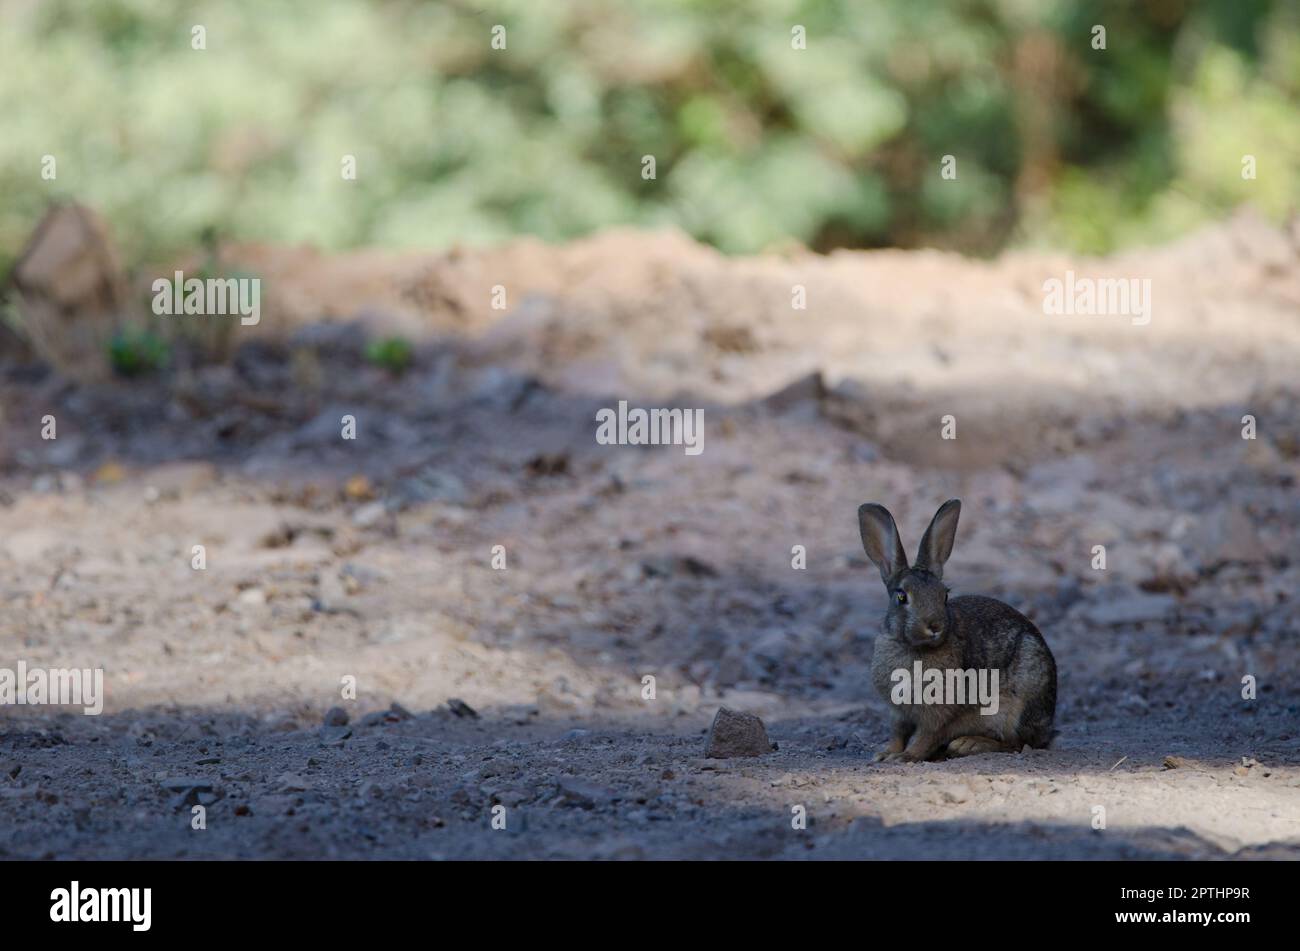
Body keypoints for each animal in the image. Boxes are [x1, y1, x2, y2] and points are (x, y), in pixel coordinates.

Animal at [857, 499, 1056, 762]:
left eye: (944, 595)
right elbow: (898, 733)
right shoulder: (898, 712)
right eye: (901, 596)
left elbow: (926, 736)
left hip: (1019, 702)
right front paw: (886, 754)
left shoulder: (938, 711)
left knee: (1018, 743)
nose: (934, 626)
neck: (914, 648)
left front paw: (906, 757)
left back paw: (968, 744)